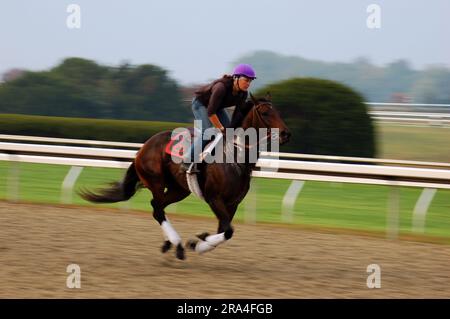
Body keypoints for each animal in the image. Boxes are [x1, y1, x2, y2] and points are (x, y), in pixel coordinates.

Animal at [80, 94, 292, 260]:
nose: (286, 134)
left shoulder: (233, 203)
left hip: (179, 189)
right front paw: (197, 241)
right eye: (265, 113)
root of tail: (143, 147)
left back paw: (170, 244)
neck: (235, 157)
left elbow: (224, 231)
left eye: (278, 111)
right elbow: (228, 231)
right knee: (157, 209)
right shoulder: (214, 198)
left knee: (159, 207)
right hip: (156, 181)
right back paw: (178, 244)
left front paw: (200, 241)